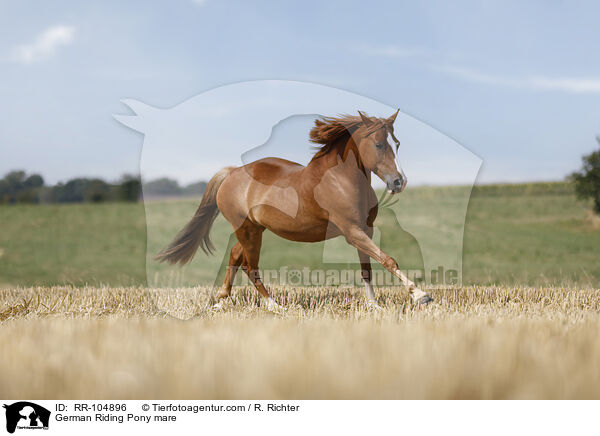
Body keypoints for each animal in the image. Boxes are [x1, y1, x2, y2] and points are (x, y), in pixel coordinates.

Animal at [157, 111, 434, 310]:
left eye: (397, 144)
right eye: (378, 145)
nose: (399, 182)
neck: (341, 180)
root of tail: (232, 172)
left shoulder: (365, 230)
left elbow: (368, 268)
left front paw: (374, 306)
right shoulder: (352, 231)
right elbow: (387, 259)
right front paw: (420, 295)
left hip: (253, 228)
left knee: (236, 256)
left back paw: (221, 300)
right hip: (247, 230)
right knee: (249, 266)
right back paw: (274, 306)